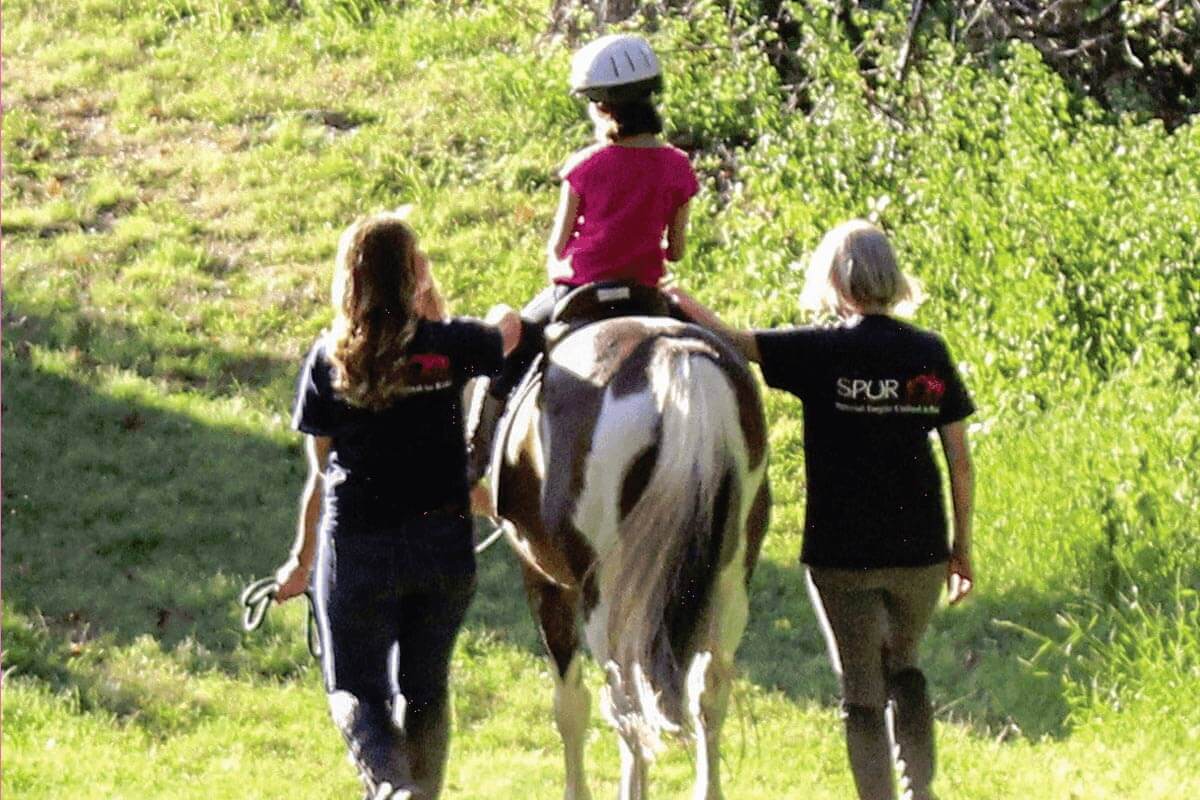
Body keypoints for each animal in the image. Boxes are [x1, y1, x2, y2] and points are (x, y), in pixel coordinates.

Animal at [492, 287, 772, 800]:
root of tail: (675, 360)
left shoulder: (544, 579)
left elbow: (571, 703)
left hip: (606, 597)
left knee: (626, 701)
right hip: (728, 584)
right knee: (707, 690)